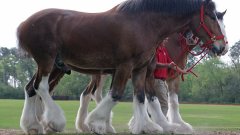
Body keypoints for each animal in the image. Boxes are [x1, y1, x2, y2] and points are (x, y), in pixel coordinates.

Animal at [17, 0, 228, 134]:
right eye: (211, 17)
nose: (222, 47)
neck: (143, 24)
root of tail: (24, 24)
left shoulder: (141, 69)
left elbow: (143, 97)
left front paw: (149, 126)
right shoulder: (126, 66)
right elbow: (116, 95)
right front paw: (95, 123)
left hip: (53, 65)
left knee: (31, 88)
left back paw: (33, 125)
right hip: (48, 61)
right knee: (42, 87)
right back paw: (55, 121)